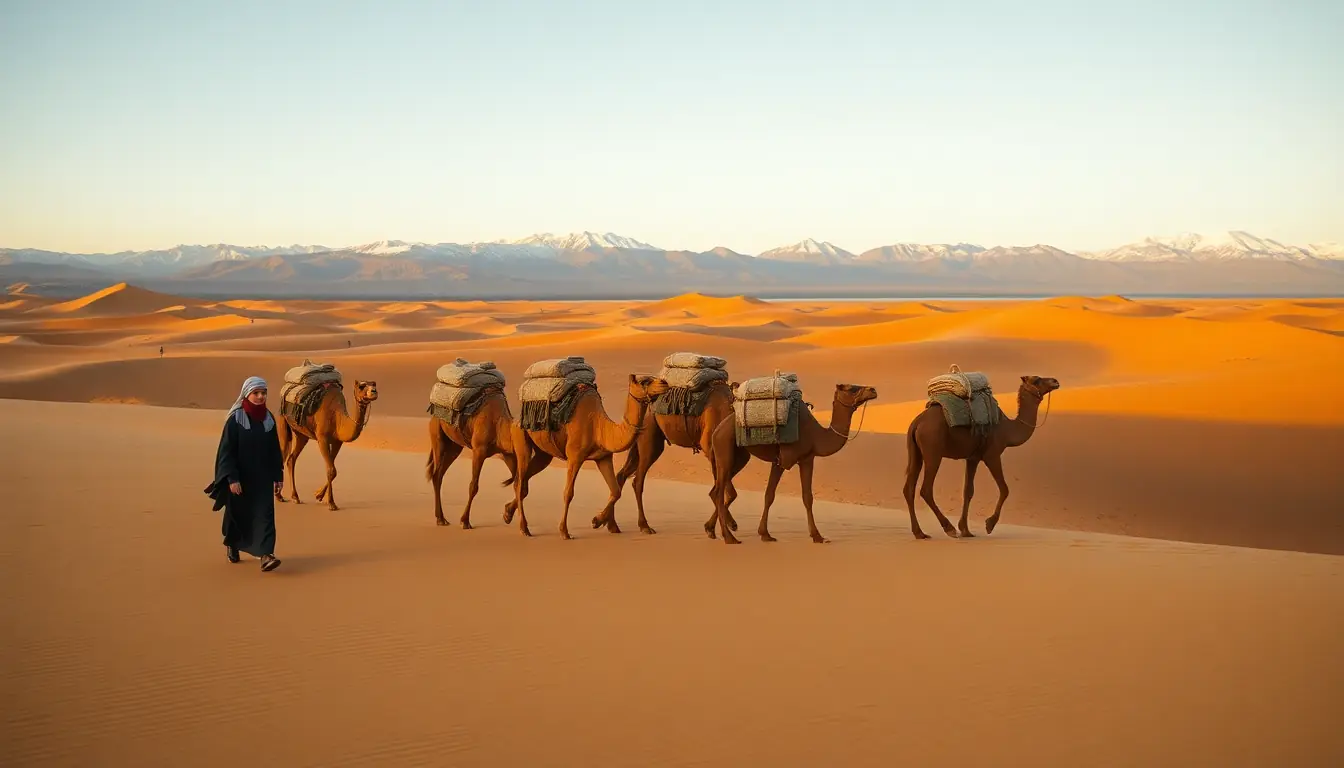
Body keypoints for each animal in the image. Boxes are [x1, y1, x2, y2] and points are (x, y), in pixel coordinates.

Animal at [274, 380, 379, 511]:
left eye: (374, 384)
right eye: (361, 386)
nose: (374, 391)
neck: (337, 418)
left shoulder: (337, 442)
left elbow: (332, 470)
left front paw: (318, 495)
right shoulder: (322, 438)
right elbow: (331, 470)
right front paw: (331, 503)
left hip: (301, 434)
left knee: (291, 459)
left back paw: (295, 497)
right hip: (282, 420)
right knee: (283, 454)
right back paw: (279, 496)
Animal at [502, 374, 656, 539]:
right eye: (645, 381)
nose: (664, 383)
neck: (599, 426)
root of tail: (516, 418)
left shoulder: (603, 457)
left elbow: (615, 491)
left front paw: (597, 521)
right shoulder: (575, 456)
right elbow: (568, 493)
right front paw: (564, 531)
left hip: (543, 453)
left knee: (522, 481)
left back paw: (507, 514)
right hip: (520, 438)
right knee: (520, 481)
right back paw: (524, 528)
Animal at [708, 383, 878, 545]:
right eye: (851, 388)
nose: (873, 390)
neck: (817, 436)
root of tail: (716, 431)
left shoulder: (802, 459)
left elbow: (775, 495)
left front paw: (765, 534)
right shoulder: (792, 460)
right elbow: (798, 497)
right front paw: (817, 536)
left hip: (739, 456)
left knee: (716, 490)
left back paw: (710, 529)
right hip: (725, 450)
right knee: (719, 492)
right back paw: (729, 538)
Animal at [902, 375, 1059, 539]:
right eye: (1036, 380)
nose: (1055, 381)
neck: (1007, 430)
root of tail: (916, 423)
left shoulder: (973, 458)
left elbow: (968, 491)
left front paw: (966, 530)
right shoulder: (992, 455)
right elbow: (1005, 489)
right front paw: (989, 525)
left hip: (916, 452)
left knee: (909, 488)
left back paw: (919, 533)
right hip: (933, 450)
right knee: (926, 489)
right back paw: (948, 528)